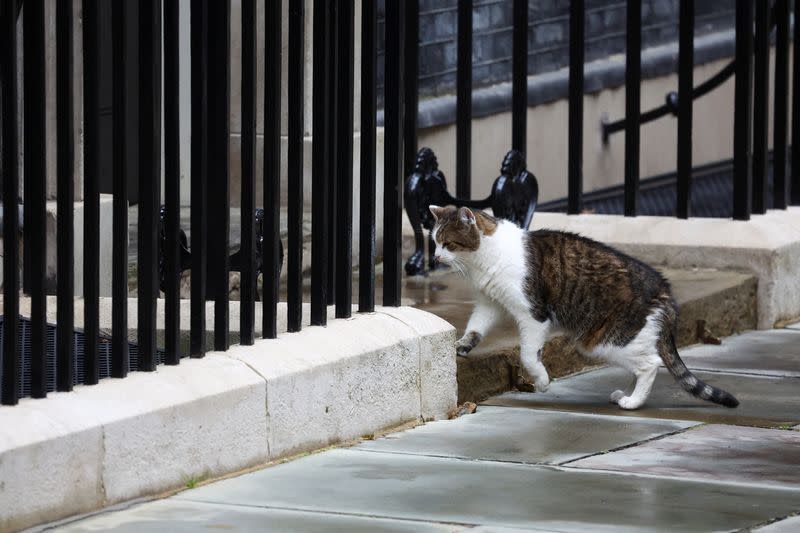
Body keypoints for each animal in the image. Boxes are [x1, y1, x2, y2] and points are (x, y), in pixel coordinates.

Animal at [432, 203, 736, 408]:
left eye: (447, 243)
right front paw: (462, 346)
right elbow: (475, 328)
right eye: (433, 241)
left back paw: (633, 402)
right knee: (641, 364)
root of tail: (664, 290)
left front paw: (542, 382)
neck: (484, 259)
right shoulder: (490, 303)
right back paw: (626, 394)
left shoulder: (533, 314)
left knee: (651, 364)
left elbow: (529, 354)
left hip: (605, 339)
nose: (434, 257)